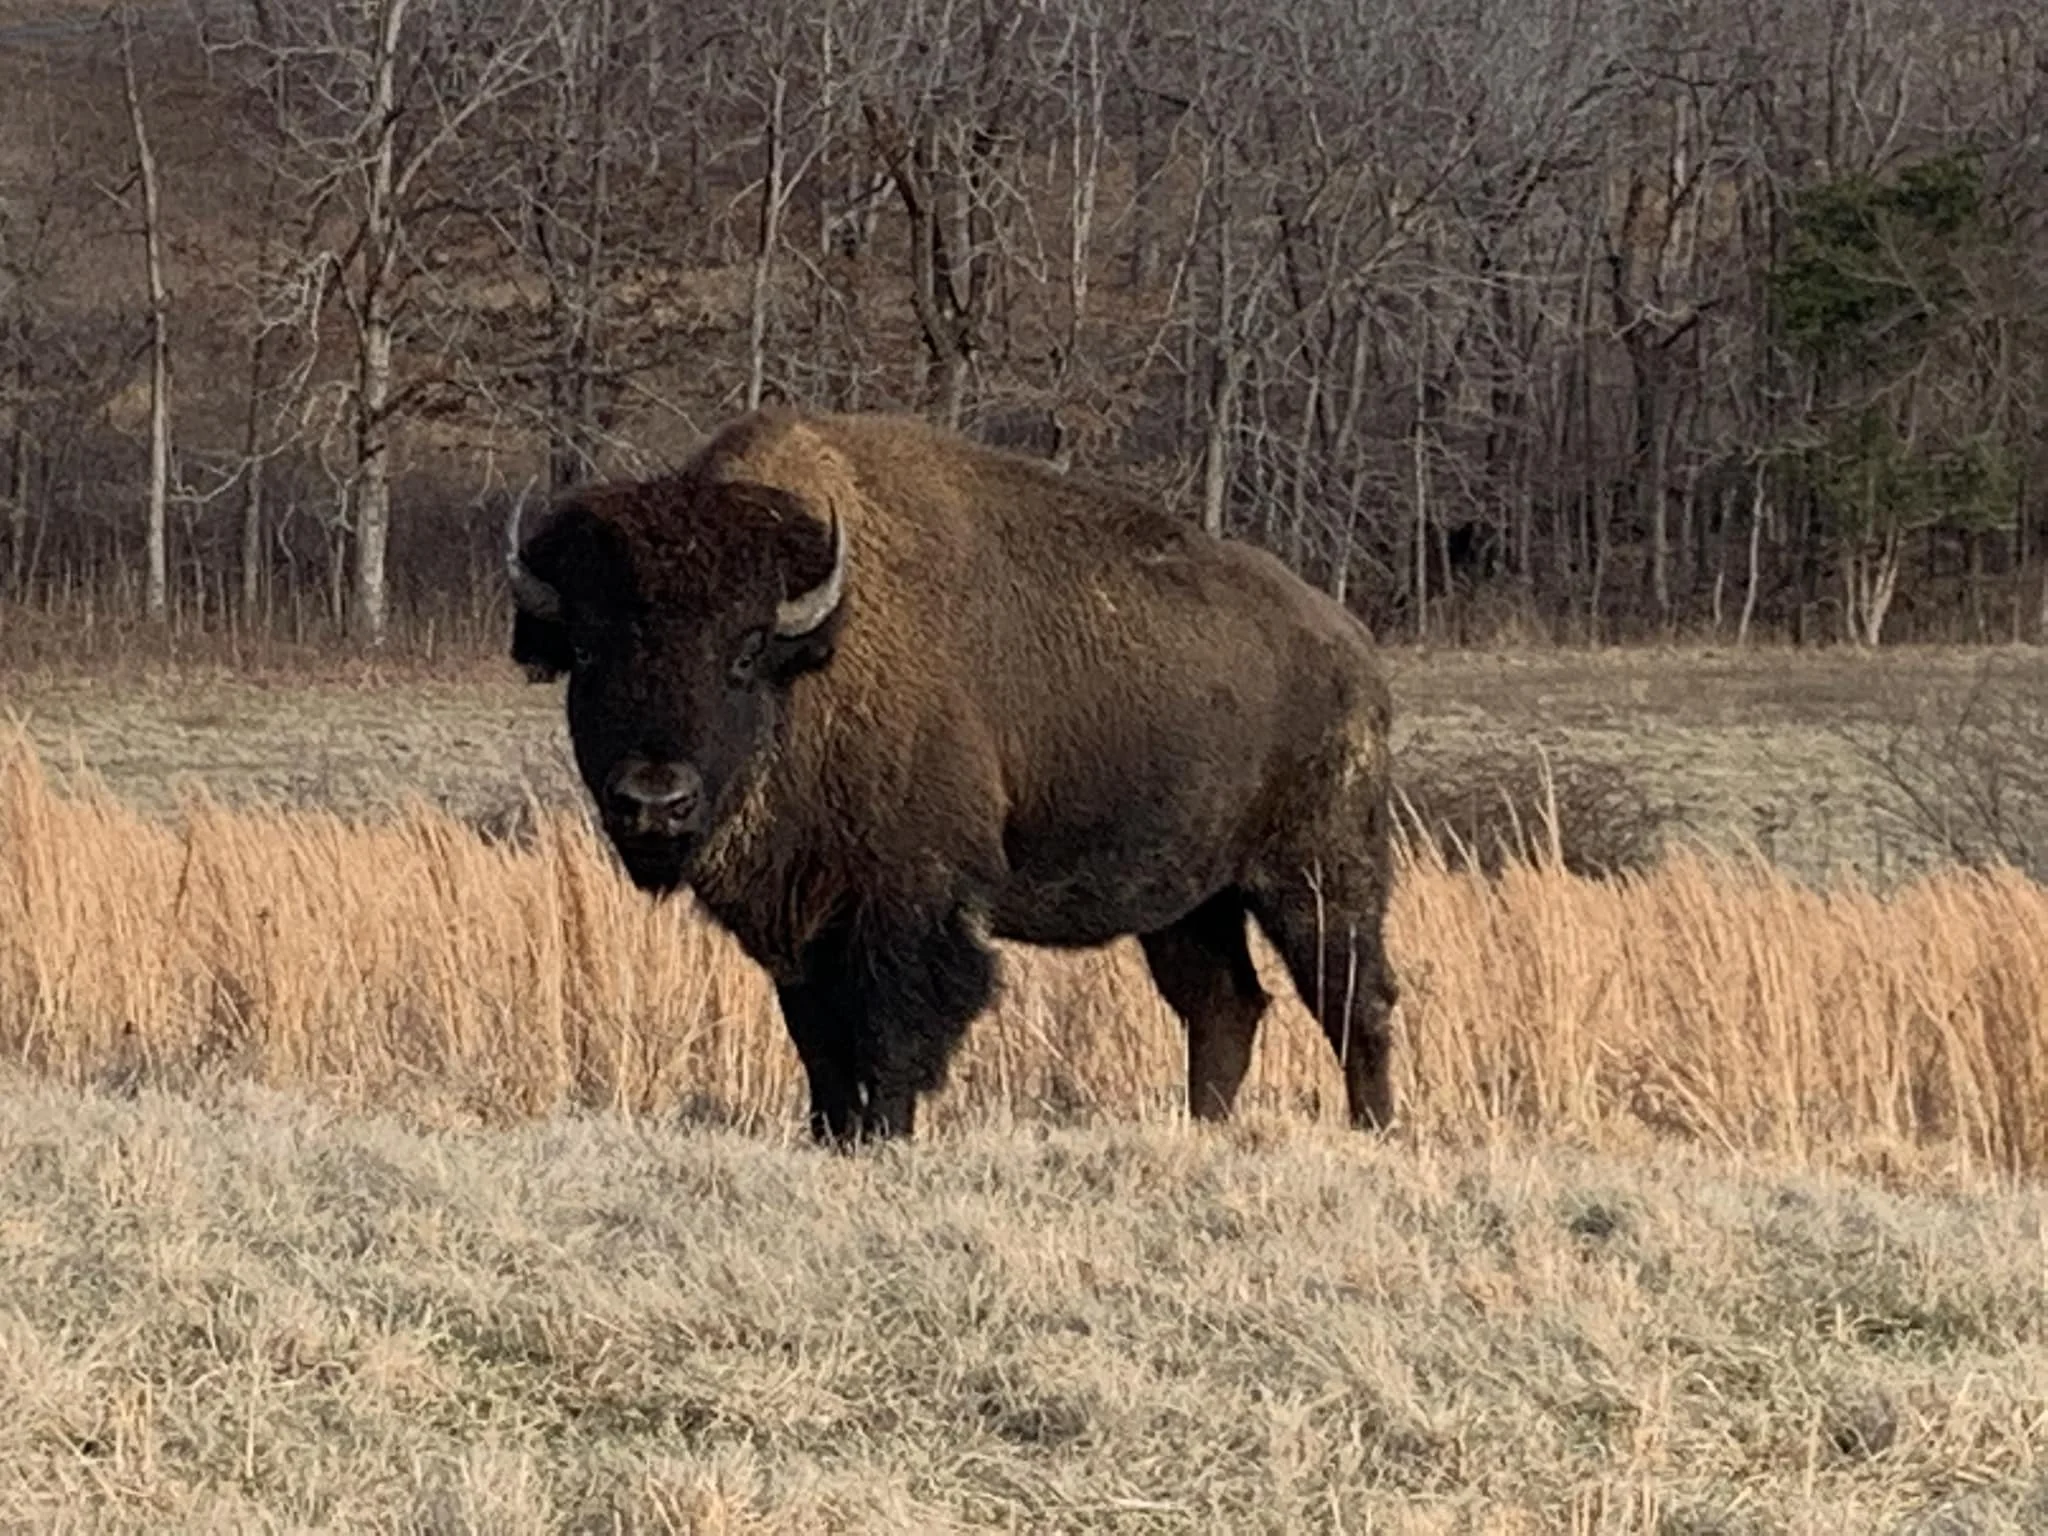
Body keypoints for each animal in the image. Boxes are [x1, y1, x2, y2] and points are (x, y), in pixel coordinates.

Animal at [507, 408, 1399, 1142]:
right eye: (586, 649)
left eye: (744, 652)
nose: (655, 798)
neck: (816, 659)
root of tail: (1351, 644)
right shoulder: (801, 928)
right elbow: (821, 1045)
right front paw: (832, 1135)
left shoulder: (911, 908)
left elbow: (894, 1034)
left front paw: (887, 1135)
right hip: (1190, 903)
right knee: (1223, 1004)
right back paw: (1205, 1126)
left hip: (1315, 877)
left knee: (1356, 997)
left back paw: (1373, 1129)